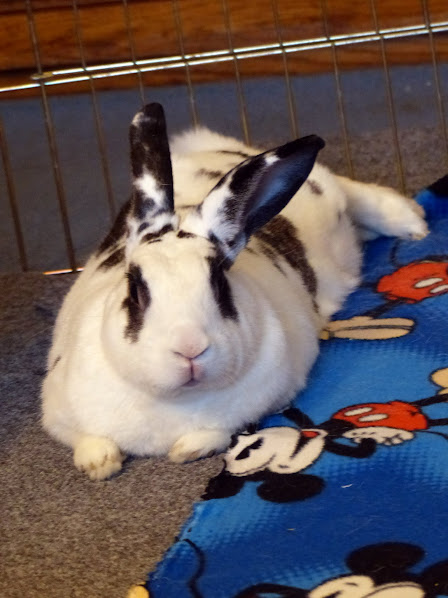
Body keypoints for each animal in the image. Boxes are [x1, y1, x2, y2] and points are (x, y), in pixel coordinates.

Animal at [41, 102, 428, 480]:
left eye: (219, 284)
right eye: (135, 291)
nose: (190, 348)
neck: (176, 401)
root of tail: (216, 148)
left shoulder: (263, 401)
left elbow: (218, 432)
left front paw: (187, 449)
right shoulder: (59, 410)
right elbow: (88, 439)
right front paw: (99, 464)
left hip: (330, 196)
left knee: (351, 191)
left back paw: (413, 223)